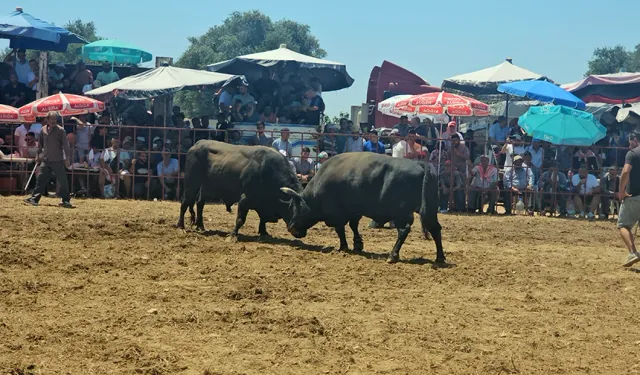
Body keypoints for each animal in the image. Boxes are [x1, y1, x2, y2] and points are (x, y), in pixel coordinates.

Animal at [176, 140, 304, 239]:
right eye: (295, 210)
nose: (300, 232)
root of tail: (197, 144)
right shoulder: (245, 199)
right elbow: (240, 219)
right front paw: (233, 234)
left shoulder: (263, 203)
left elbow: (262, 219)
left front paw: (264, 232)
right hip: (191, 184)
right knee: (185, 203)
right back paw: (180, 226)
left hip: (207, 187)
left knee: (200, 203)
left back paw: (200, 226)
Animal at [280, 153, 444, 264]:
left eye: (294, 208)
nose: (291, 228)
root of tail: (420, 164)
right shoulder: (354, 211)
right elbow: (353, 226)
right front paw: (358, 244)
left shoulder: (337, 214)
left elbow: (340, 229)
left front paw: (344, 247)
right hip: (429, 210)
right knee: (435, 229)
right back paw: (440, 257)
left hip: (400, 213)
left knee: (404, 230)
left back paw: (393, 256)